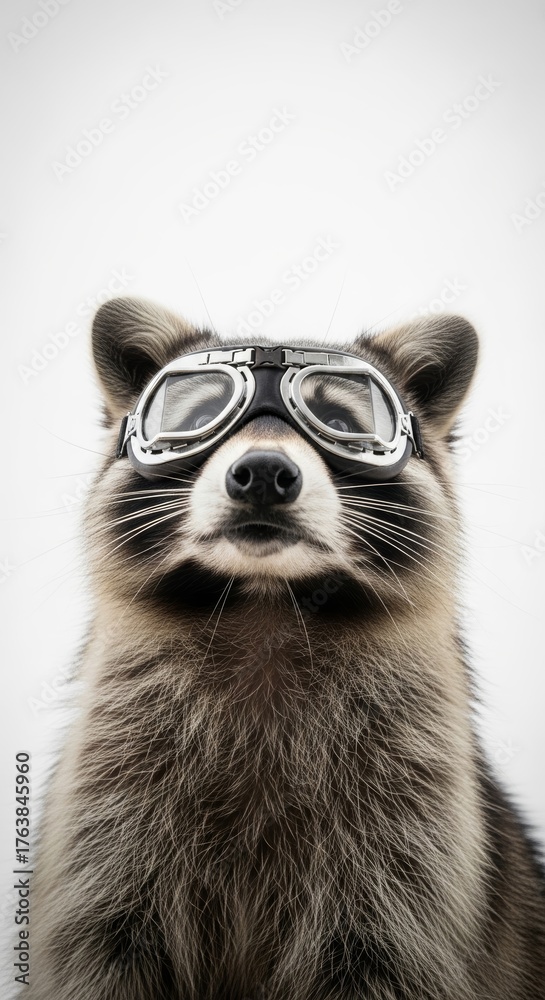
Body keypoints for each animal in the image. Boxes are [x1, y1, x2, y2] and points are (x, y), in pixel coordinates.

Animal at [23, 298, 545, 1000]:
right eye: (198, 418)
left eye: (338, 421)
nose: (265, 476)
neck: (266, 605)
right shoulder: (107, 826)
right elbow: (98, 948)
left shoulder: (409, 847)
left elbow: (390, 955)